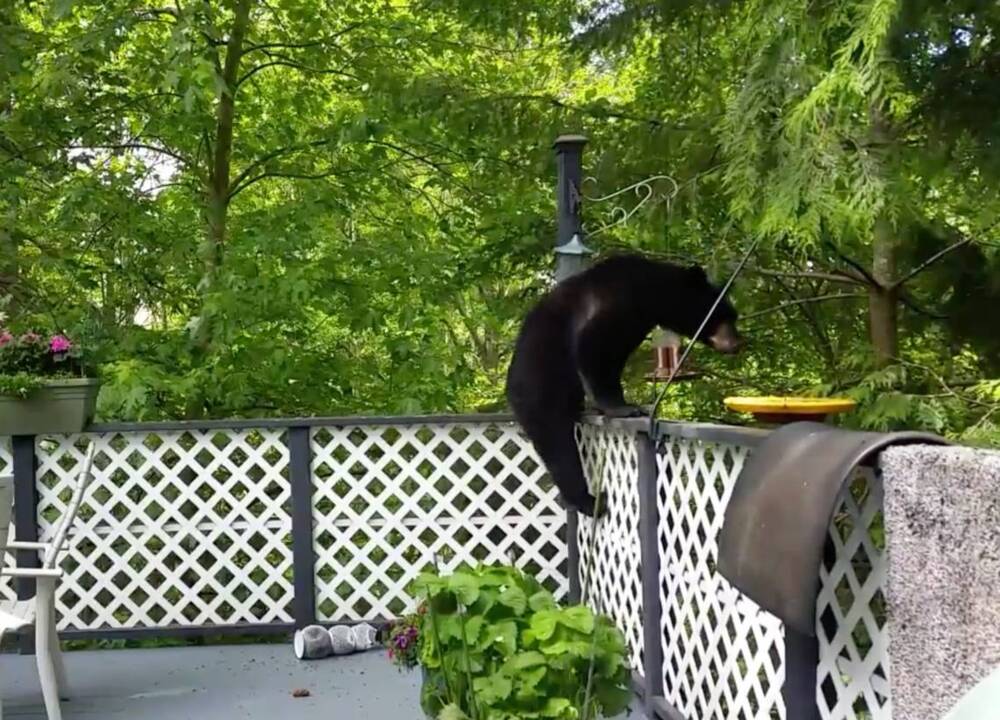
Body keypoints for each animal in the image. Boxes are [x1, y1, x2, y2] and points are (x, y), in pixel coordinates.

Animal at [505, 253, 743, 517]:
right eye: (726, 316)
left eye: (733, 316)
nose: (737, 343)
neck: (652, 293)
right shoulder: (619, 301)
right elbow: (593, 346)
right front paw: (623, 407)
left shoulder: (635, 323)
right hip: (540, 384)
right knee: (558, 445)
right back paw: (589, 501)